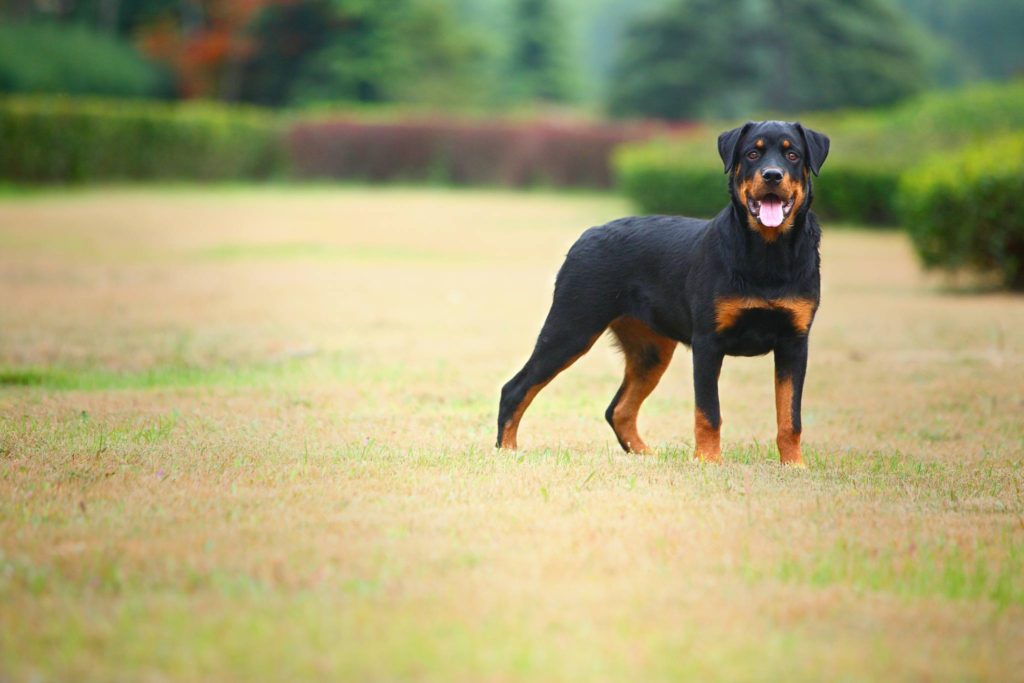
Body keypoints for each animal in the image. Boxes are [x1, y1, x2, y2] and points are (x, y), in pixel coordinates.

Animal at [497, 121, 831, 464]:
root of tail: (587, 235)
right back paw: (507, 449)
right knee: (515, 389)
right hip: (571, 329)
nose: (772, 175)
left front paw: (794, 465)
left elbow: (790, 417)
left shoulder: (794, 342)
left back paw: (645, 454)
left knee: (618, 409)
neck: (768, 252)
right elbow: (708, 413)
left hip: (651, 351)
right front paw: (708, 461)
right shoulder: (708, 343)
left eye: (793, 155)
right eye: (752, 153)